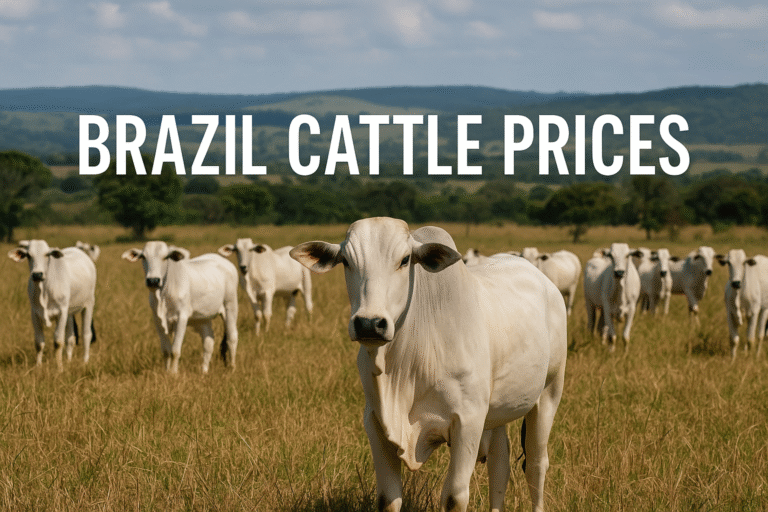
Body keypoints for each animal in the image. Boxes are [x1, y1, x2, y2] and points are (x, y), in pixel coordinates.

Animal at [8, 240, 97, 369]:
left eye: (47, 254)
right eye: (28, 255)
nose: (37, 274)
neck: (44, 290)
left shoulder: (61, 312)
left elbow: (58, 342)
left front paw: (59, 368)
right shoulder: (35, 313)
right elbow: (39, 342)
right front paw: (38, 366)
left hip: (89, 304)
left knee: (86, 334)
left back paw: (85, 361)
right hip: (69, 312)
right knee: (70, 338)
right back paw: (68, 360)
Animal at [122, 241, 239, 374]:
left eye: (166, 257)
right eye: (143, 257)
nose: (153, 281)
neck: (163, 296)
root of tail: (224, 261)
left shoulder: (181, 318)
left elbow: (175, 351)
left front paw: (173, 373)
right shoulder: (158, 320)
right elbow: (166, 351)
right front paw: (166, 372)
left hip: (230, 306)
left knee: (232, 338)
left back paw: (232, 368)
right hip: (203, 319)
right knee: (208, 342)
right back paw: (204, 371)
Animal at [290, 217, 567, 512]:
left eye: (404, 260)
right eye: (346, 261)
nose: (369, 323)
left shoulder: (467, 422)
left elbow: (454, 497)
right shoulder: (376, 423)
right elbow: (388, 498)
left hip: (549, 394)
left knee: (536, 465)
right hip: (497, 413)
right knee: (499, 465)